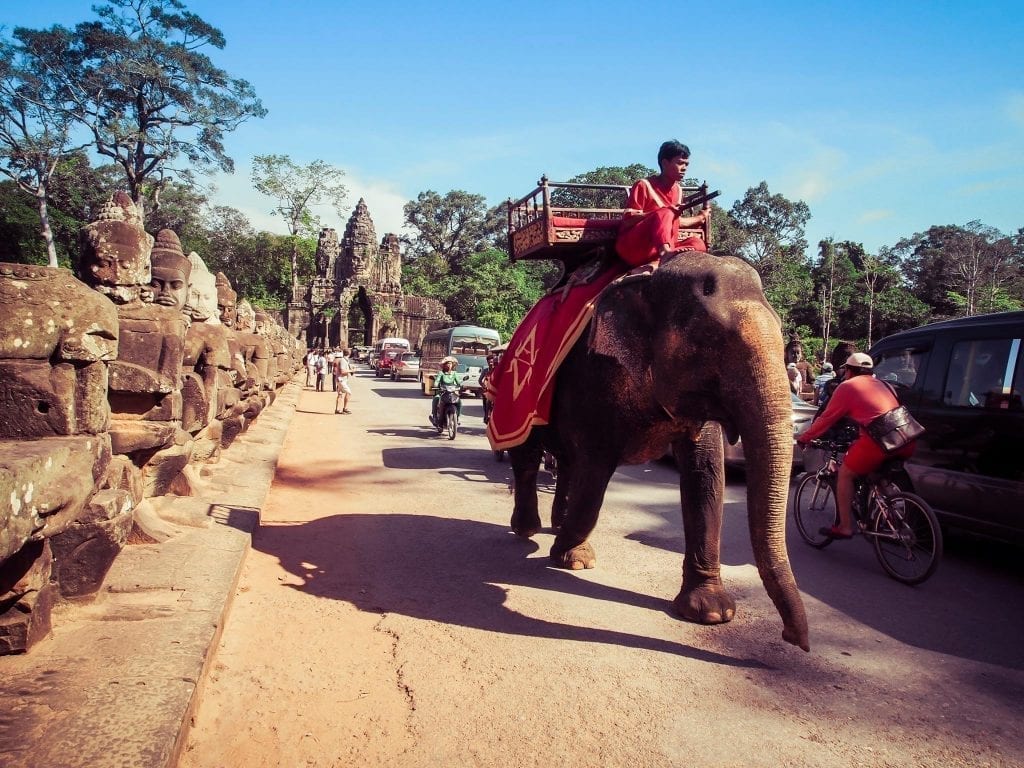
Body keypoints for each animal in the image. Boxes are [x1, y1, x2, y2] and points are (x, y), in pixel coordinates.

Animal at [507, 250, 811, 651]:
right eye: (709, 340)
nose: (796, 639)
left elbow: (706, 474)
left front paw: (711, 613)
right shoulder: (593, 375)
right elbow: (595, 468)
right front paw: (572, 559)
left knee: (568, 463)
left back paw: (556, 524)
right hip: (520, 389)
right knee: (529, 456)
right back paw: (528, 529)